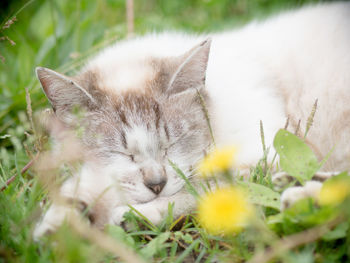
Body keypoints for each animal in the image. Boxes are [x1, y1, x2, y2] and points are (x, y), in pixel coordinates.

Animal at [33, 1, 350, 238]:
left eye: (172, 144)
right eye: (121, 153)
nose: (156, 184)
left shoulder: (258, 158)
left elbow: (195, 191)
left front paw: (134, 215)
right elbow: (88, 185)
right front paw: (61, 222)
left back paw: (299, 197)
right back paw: (296, 187)